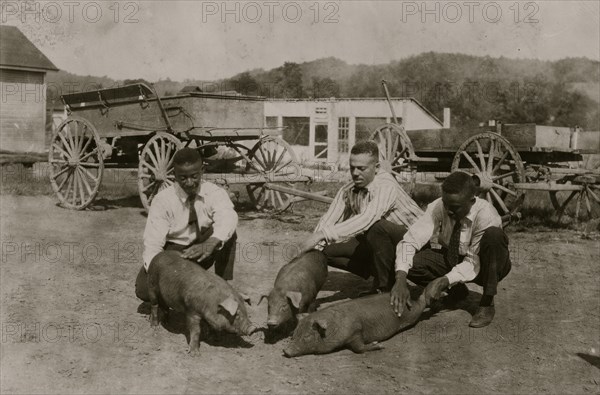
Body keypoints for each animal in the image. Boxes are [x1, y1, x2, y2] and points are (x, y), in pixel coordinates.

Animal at [282, 292, 426, 358]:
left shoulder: (355, 331)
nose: (285, 351)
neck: (335, 326)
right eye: (295, 333)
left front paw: (378, 345)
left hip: (412, 313)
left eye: (307, 336)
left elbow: (359, 348)